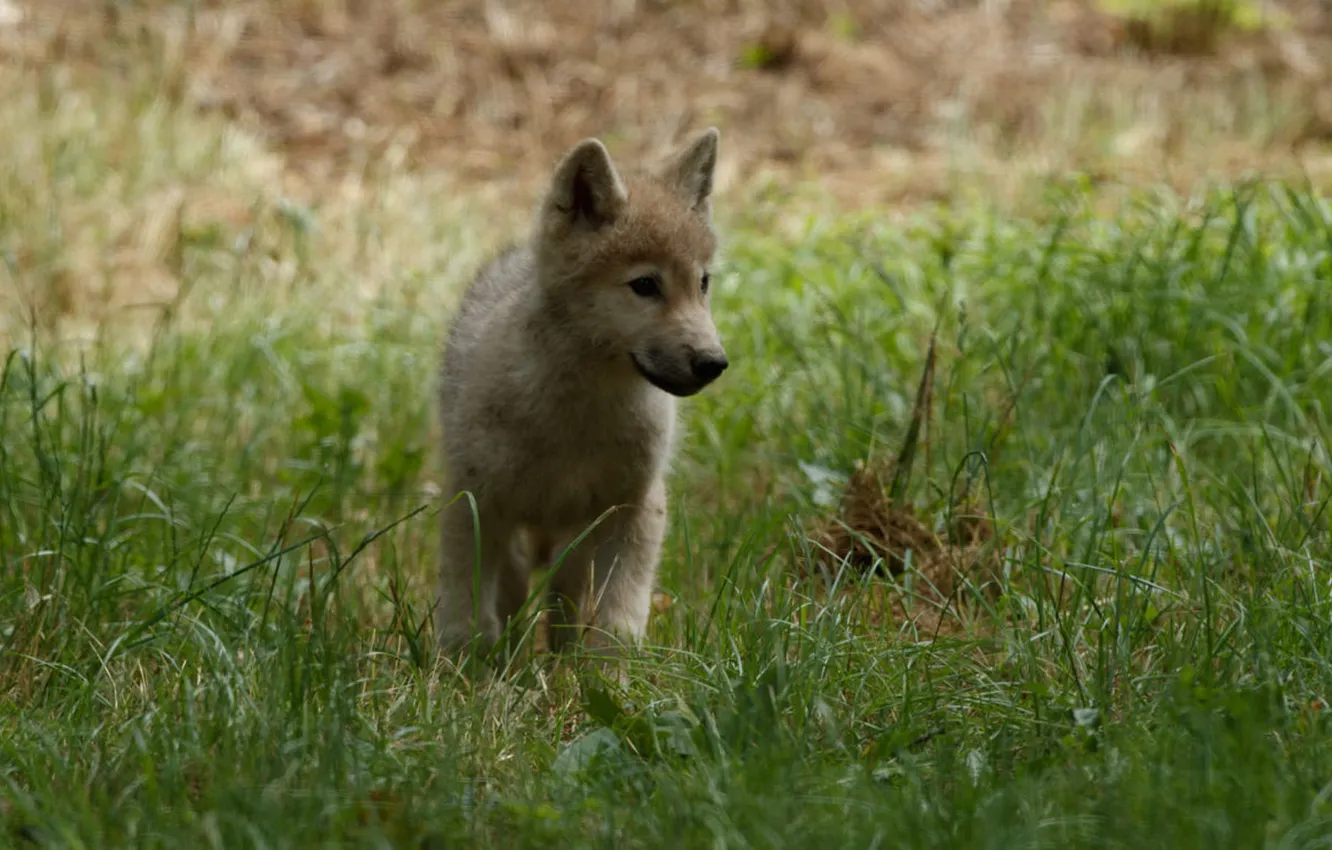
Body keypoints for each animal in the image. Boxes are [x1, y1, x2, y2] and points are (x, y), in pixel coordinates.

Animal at [434, 127, 729, 662]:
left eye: (703, 283)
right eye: (645, 285)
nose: (713, 362)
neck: (580, 417)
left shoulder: (635, 509)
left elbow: (618, 627)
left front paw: (605, 681)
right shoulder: (476, 505)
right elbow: (466, 622)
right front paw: (459, 675)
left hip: (575, 544)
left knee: (562, 605)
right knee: (513, 598)